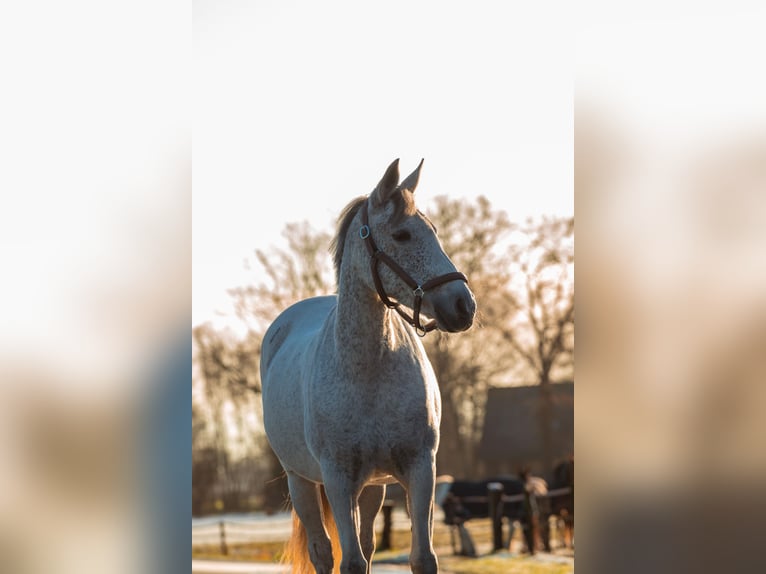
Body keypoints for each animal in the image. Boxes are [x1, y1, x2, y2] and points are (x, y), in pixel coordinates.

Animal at [260, 159, 476, 574]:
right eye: (402, 234)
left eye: (434, 231)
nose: (463, 305)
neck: (369, 374)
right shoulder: (339, 479)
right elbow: (350, 562)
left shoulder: (420, 470)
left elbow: (422, 557)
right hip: (302, 482)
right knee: (323, 552)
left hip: (373, 488)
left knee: (366, 542)